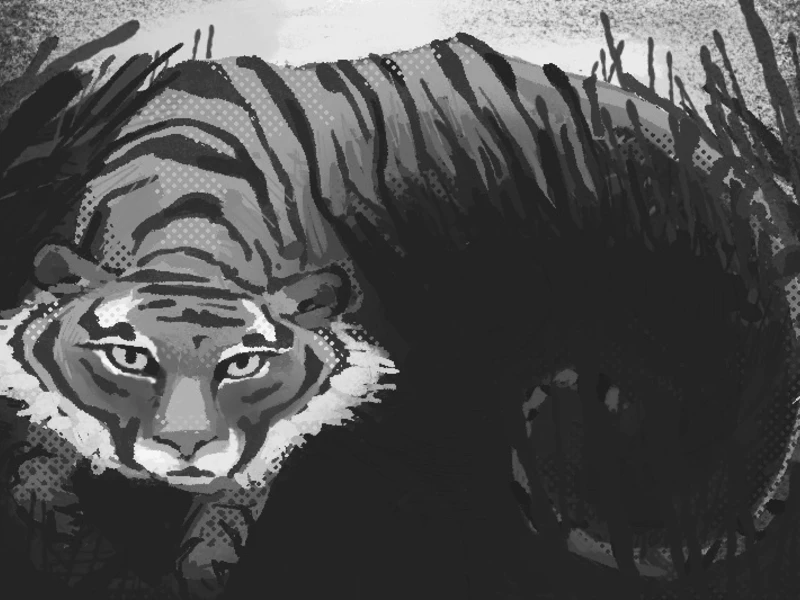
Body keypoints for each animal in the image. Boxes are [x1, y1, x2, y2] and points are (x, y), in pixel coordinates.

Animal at [1, 29, 798, 599]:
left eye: (246, 367)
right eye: (126, 358)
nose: (186, 451)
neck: (187, 230)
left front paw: (204, 563)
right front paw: (47, 516)